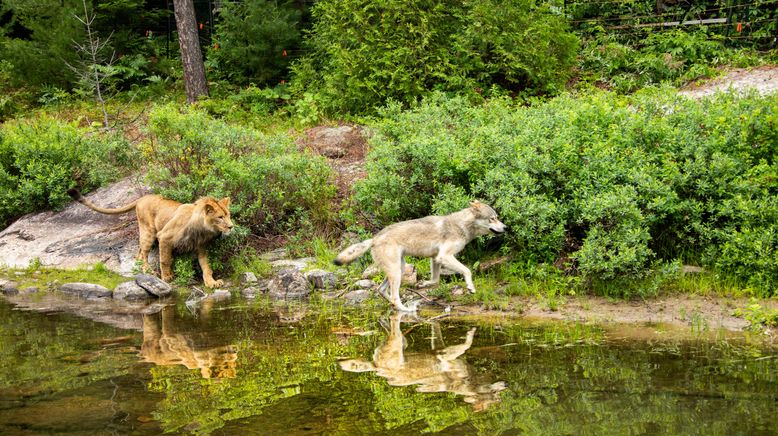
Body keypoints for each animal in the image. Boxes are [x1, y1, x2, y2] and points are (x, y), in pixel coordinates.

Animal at [68, 188, 232, 288]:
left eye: (228, 215)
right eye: (220, 217)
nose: (231, 226)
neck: (202, 228)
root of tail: (142, 197)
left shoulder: (200, 246)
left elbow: (206, 266)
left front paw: (212, 282)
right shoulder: (164, 237)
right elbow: (165, 260)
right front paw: (167, 277)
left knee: (139, 252)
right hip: (149, 232)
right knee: (143, 254)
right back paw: (150, 272)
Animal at [332, 199, 504, 312]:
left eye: (497, 218)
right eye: (492, 218)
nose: (506, 227)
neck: (462, 225)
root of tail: (374, 239)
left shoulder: (436, 258)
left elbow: (435, 280)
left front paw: (423, 284)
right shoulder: (444, 256)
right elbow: (467, 270)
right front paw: (470, 287)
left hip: (399, 269)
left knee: (381, 290)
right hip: (397, 272)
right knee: (394, 296)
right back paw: (405, 310)